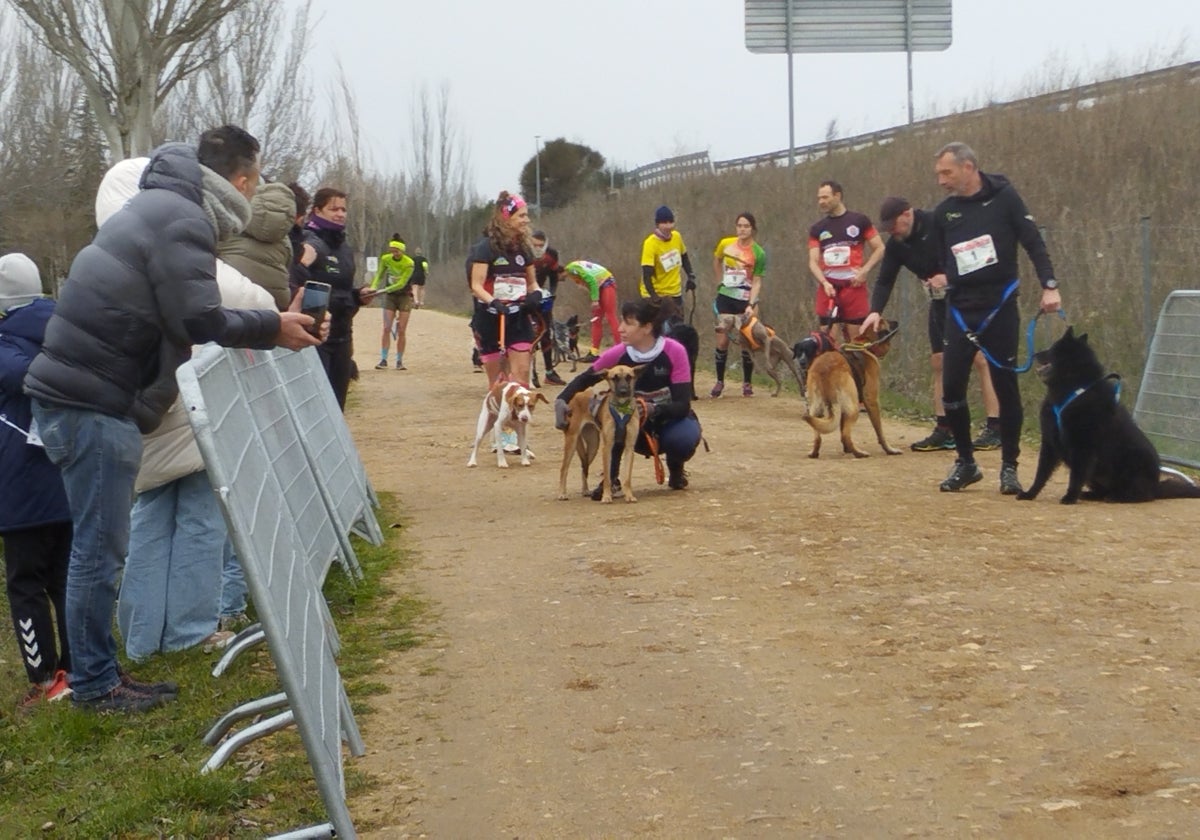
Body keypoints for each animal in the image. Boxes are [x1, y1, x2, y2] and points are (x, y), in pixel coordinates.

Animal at [806, 319, 902, 458]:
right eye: (885, 322)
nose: (897, 322)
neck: (864, 344)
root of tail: (825, 370)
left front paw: (846, 449)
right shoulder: (872, 401)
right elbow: (880, 432)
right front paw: (889, 449)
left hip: (815, 408)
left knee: (818, 434)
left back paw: (815, 452)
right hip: (853, 407)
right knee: (846, 435)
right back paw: (859, 453)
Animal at [1012, 324, 1200, 501]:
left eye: (1052, 349)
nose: (1035, 354)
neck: (1073, 388)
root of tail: (1156, 486)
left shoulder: (1083, 446)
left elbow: (1075, 477)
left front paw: (1070, 497)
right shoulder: (1050, 442)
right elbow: (1041, 474)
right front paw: (1029, 494)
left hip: (1131, 464)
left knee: (1141, 494)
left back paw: (1119, 497)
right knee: (1104, 491)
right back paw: (1091, 494)